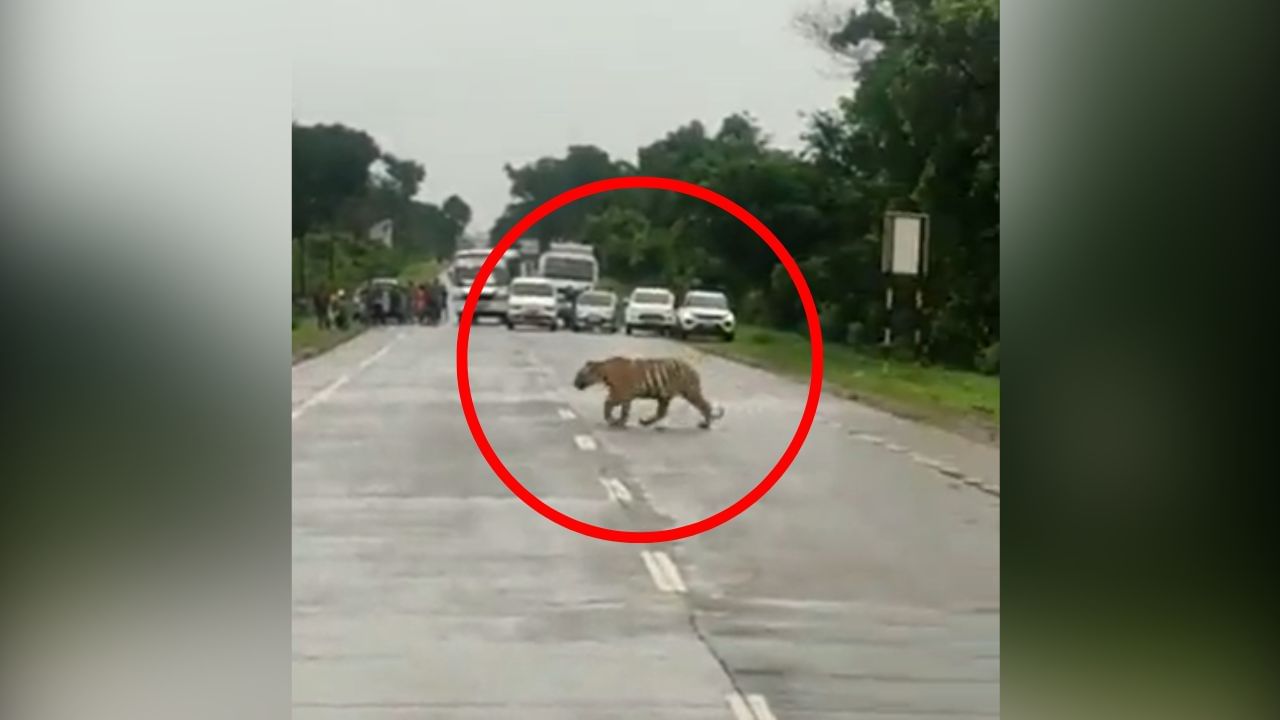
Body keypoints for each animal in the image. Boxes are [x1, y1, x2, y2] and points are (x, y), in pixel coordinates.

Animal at [573, 353, 727, 425]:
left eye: (579, 374)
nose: (574, 383)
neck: (603, 372)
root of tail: (693, 370)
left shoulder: (620, 394)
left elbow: (607, 405)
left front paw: (612, 420)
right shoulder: (625, 397)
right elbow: (624, 411)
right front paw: (620, 422)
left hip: (690, 392)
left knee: (705, 405)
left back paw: (705, 424)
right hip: (664, 397)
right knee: (661, 413)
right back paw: (645, 422)